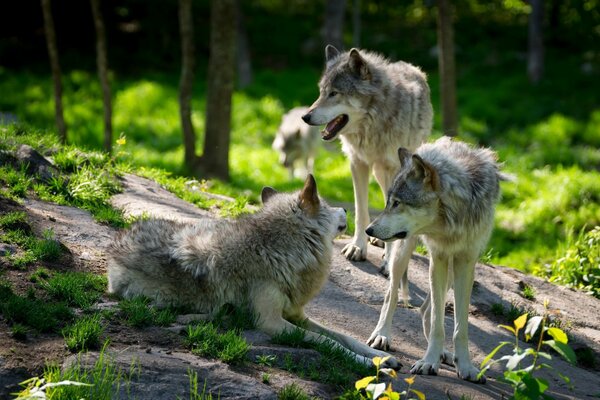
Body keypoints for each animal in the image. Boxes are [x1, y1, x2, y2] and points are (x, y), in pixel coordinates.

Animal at [108, 175, 398, 368]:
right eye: (326, 204)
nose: (345, 208)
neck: (277, 249)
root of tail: (118, 240)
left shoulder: (297, 314)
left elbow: (345, 337)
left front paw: (383, 357)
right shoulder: (272, 323)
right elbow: (330, 342)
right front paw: (371, 364)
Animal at [302, 44, 434, 300]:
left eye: (334, 93)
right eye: (321, 92)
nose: (305, 116)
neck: (374, 125)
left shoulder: (394, 169)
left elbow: (391, 209)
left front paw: (388, 262)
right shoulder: (358, 163)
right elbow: (361, 210)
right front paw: (358, 246)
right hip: (379, 173)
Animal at [364, 138, 508, 384]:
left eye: (398, 203)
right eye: (389, 202)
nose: (368, 230)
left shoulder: (466, 261)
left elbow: (460, 326)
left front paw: (465, 366)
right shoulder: (438, 256)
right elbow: (438, 326)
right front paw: (429, 362)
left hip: (450, 271)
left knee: (425, 310)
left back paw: (444, 354)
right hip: (404, 252)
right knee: (392, 295)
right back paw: (381, 336)